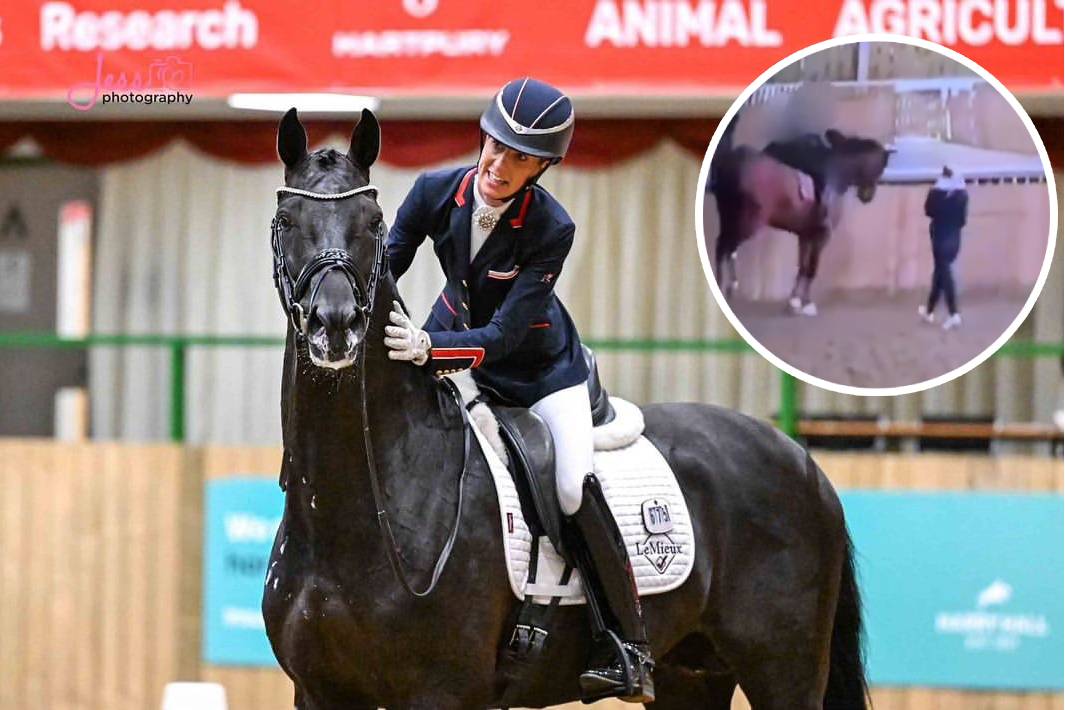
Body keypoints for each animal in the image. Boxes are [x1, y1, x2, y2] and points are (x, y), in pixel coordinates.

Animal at [262, 107, 868, 710]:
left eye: (372, 222)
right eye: (286, 220)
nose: (334, 325)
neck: (363, 506)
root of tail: (802, 461)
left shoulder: (444, 689)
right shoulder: (318, 691)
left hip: (782, 670)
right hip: (693, 674)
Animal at [709, 129, 892, 315]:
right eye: (881, 166)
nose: (867, 196)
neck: (837, 172)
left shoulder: (805, 235)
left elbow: (802, 267)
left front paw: (794, 302)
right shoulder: (822, 236)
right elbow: (811, 268)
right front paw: (806, 303)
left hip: (729, 217)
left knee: (723, 247)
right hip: (747, 223)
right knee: (726, 248)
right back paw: (727, 286)